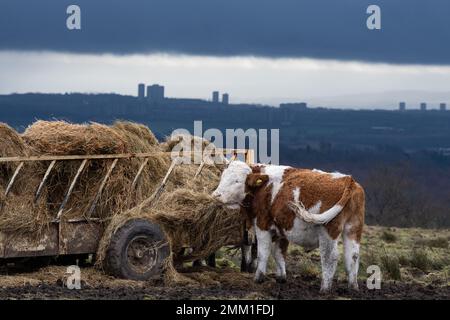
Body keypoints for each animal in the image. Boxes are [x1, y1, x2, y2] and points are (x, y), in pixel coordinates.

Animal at [212, 161, 366, 292]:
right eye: (223, 177)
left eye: (237, 181)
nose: (216, 195)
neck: (263, 187)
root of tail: (348, 180)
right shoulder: (281, 230)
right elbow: (279, 253)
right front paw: (281, 277)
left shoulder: (262, 225)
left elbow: (263, 253)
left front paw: (258, 278)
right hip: (353, 228)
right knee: (352, 256)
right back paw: (353, 287)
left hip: (328, 231)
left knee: (330, 257)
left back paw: (325, 289)